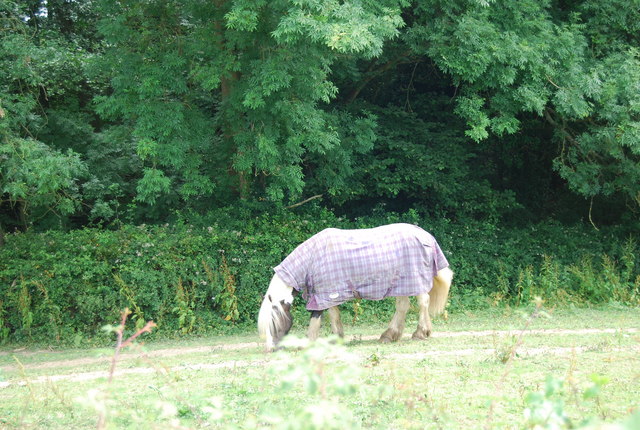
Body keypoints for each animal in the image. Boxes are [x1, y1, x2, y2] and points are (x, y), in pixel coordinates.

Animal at [258, 223, 452, 352]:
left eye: (273, 322)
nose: (270, 349)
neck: (312, 259)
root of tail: (425, 235)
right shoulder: (330, 293)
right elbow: (334, 315)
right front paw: (337, 339)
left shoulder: (322, 296)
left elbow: (315, 318)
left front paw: (308, 344)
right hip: (401, 284)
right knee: (403, 306)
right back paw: (390, 335)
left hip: (416, 281)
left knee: (423, 302)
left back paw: (420, 332)